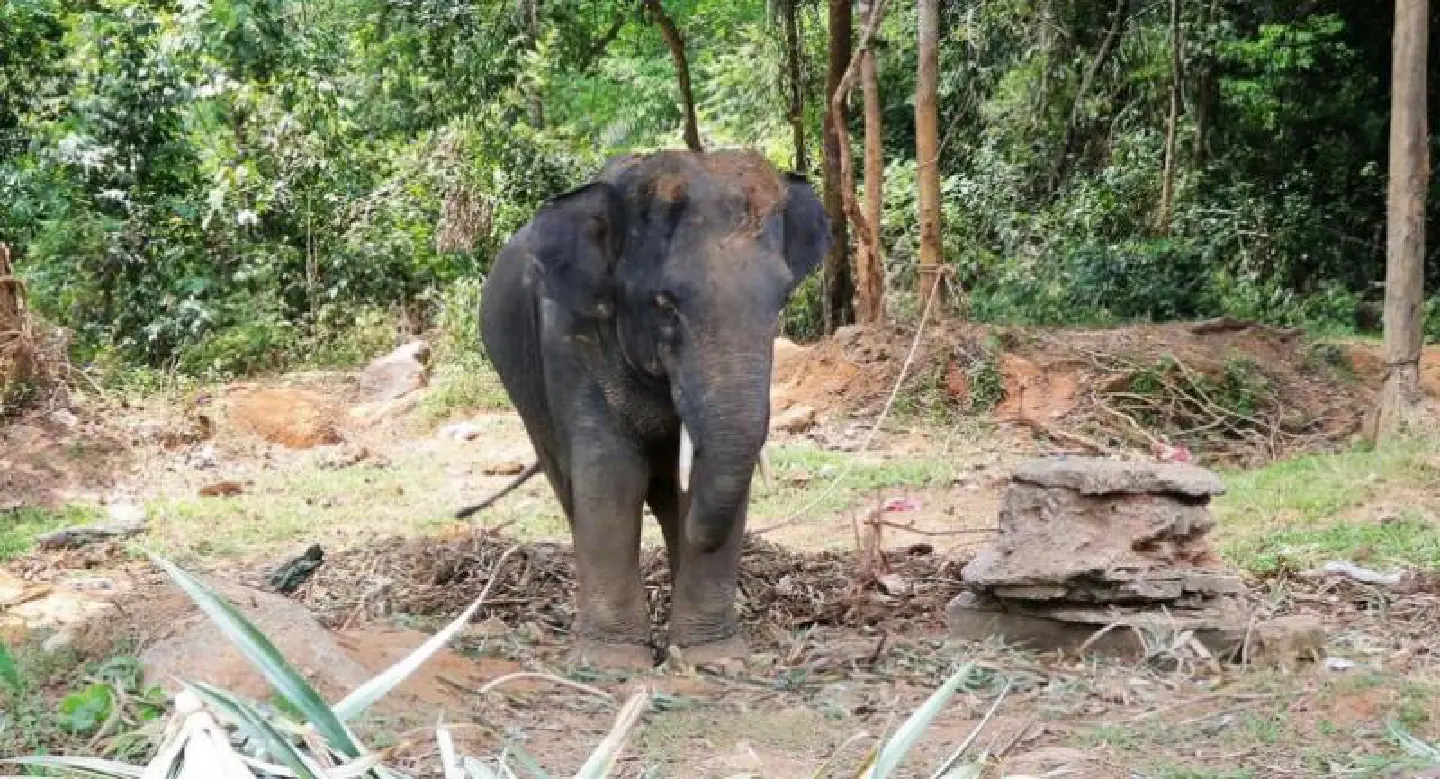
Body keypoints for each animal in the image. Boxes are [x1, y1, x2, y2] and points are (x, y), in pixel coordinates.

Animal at [475, 149, 830, 668]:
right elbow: (611, 474)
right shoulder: (570, 339)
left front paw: (713, 657)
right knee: (567, 479)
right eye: (665, 302)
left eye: (783, 299)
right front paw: (613, 662)